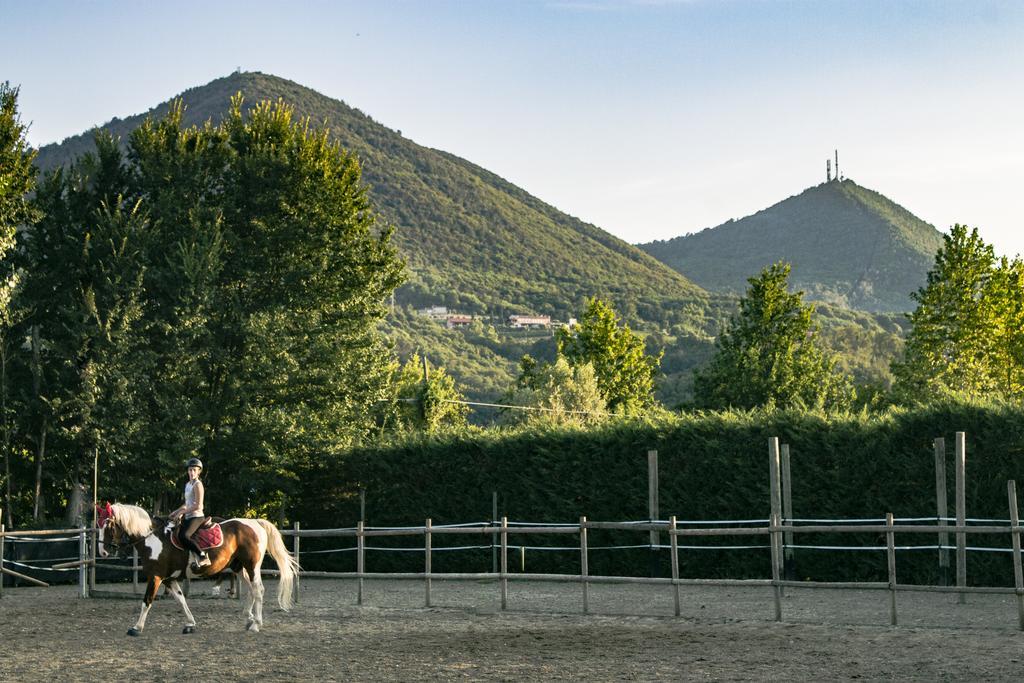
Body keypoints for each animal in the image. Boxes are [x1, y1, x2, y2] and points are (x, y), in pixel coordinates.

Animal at [96, 501, 299, 634]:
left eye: (108, 525)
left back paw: (256, 624)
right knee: (251, 589)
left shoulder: (155, 577)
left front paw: (136, 627)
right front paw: (191, 624)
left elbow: (147, 601)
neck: (152, 539)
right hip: (237, 566)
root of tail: (255, 522)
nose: (103, 552)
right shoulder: (169, 579)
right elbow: (181, 600)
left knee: (258, 589)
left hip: (251, 566)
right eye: (98, 524)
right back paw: (249, 619)